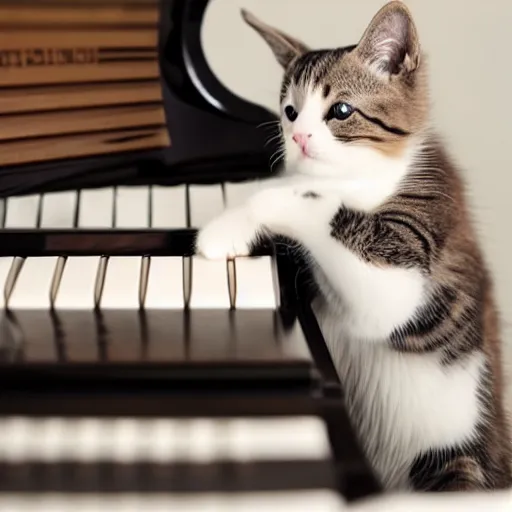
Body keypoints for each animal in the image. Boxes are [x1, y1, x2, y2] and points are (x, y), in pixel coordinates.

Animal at [194, 0, 510, 492]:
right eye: (290, 111)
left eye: (340, 110)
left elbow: (310, 199)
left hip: (458, 465)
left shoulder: (415, 256)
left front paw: (229, 223)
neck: (368, 176)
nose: (298, 138)